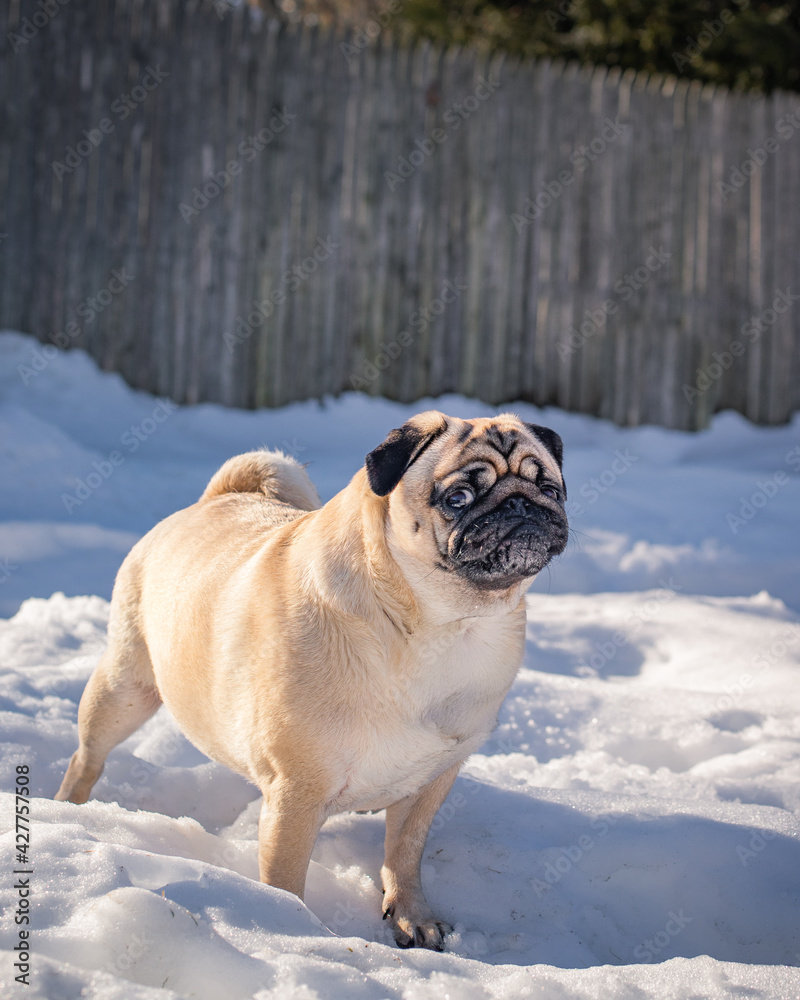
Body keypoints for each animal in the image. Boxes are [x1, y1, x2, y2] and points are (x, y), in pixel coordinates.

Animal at [56, 410, 568, 948]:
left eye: (550, 489)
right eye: (458, 498)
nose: (522, 504)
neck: (443, 626)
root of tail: (215, 499)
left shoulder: (431, 783)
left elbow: (404, 854)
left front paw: (412, 915)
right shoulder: (296, 794)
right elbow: (285, 877)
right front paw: (291, 930)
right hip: (124, 689)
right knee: (87, 756)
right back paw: (70, 807)